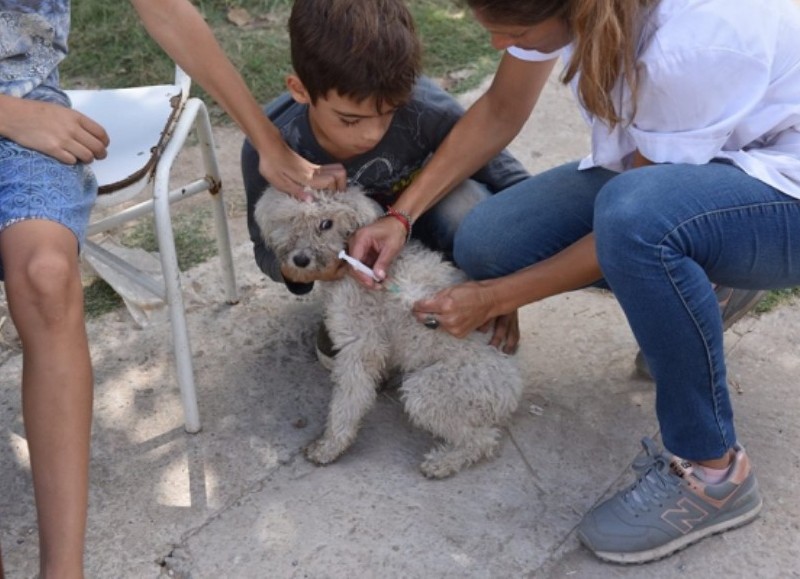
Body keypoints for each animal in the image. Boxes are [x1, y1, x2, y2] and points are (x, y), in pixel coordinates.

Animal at [253, 187, 520, 480]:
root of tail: (512, 389)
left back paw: (442, 462)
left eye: (326, 223)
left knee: (483, 440)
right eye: (290, 219)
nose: (300, 260)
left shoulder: (360, 345)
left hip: (429, 391)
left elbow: (348, 401)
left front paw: (330, 447)